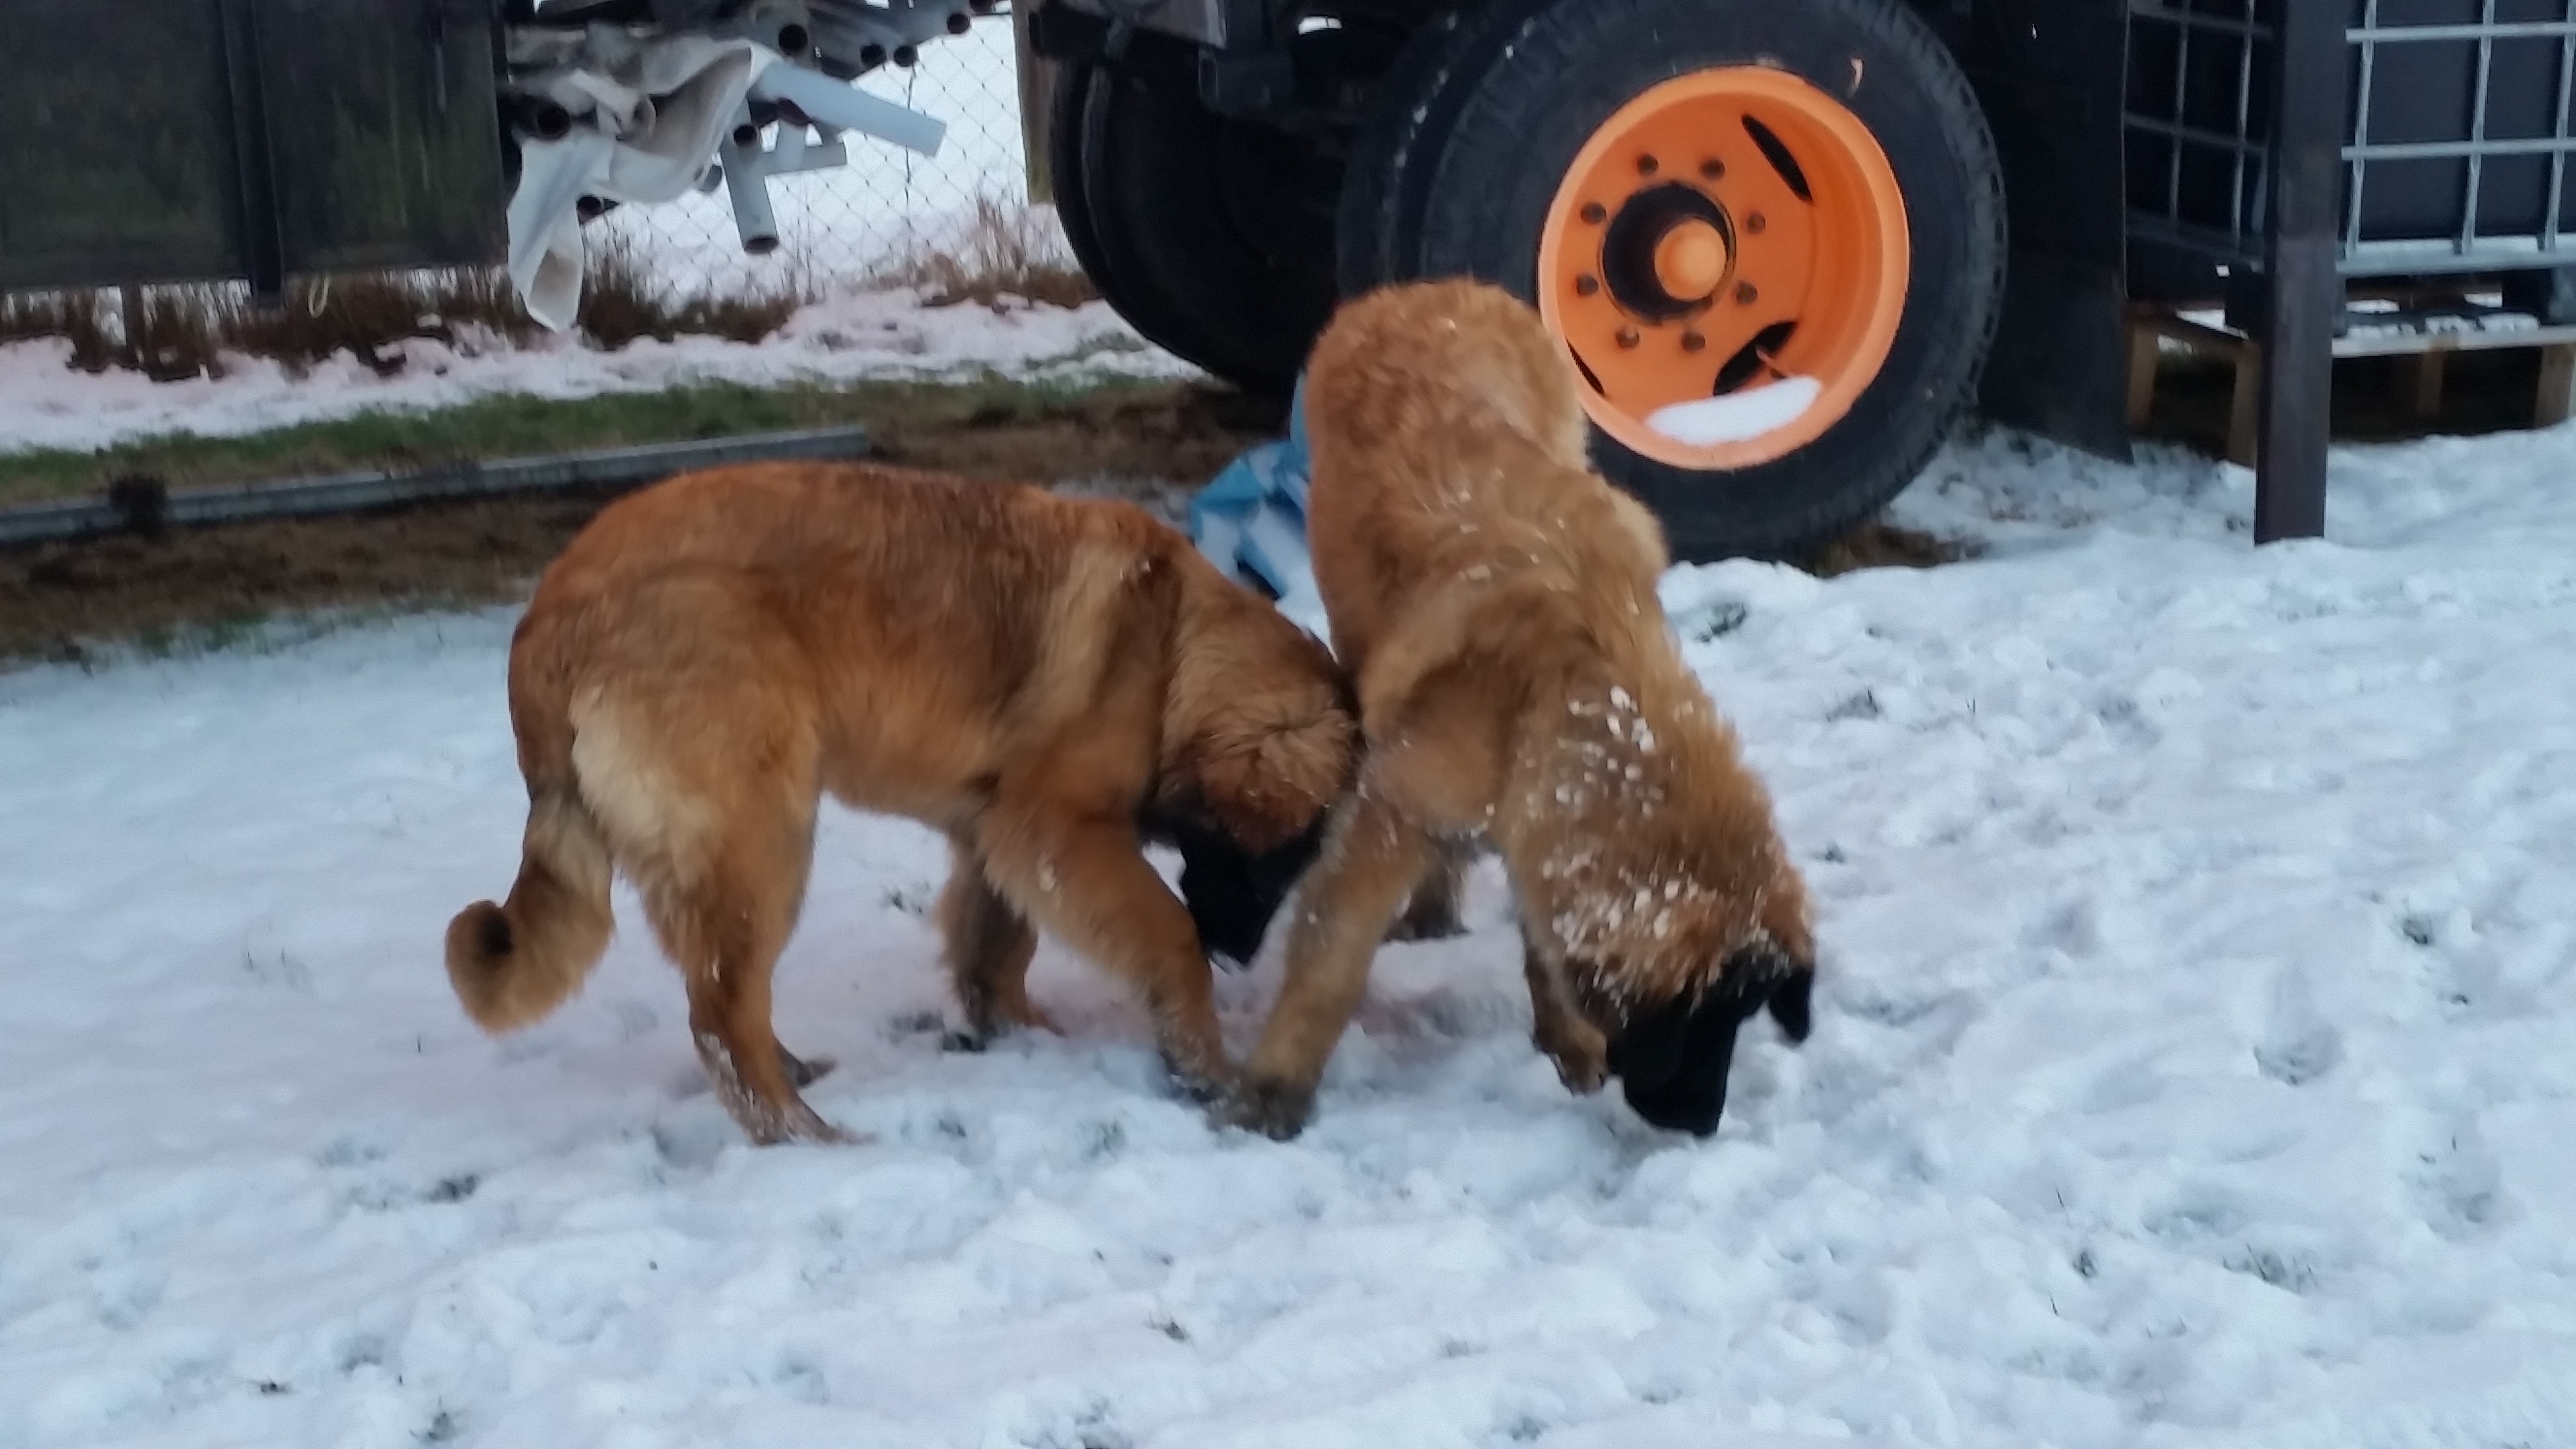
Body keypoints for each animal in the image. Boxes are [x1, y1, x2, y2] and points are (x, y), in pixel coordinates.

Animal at [444, 461, 1357, 1145]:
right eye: (1270, 864)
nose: (1237, 953)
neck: (1174, 650)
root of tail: (546, 621)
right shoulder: (1056, 830)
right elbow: (1165, 932)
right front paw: (1204, 1063)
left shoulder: (995, 834)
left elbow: (996, 948)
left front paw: (1017, 1034)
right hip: (765, 840)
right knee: (721, 1019)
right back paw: (808, 1135)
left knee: (726, 1002)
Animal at [1222, 278, 1815, 1141]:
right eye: (1696, 1022)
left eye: (1740, 1020)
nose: (1700, 1126)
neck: (1577, 688)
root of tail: (1428, 290)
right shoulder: (1392, 811)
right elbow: (1330, 961)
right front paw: (1275, 1086)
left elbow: (1542, 935)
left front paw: (1569, 1047)